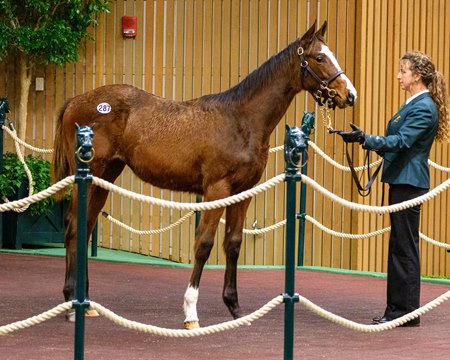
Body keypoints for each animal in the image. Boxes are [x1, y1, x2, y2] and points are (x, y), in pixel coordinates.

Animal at [51, 20, 356, 330]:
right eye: (319, 57)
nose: (349, 94)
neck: (241, 120)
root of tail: (75, 101)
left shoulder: (243, 192)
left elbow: (233, 244)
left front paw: (235, 309)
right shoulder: (216, 190)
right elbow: (204, 244)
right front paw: (191, 313)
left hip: (104, 178)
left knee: (85, 227)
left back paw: (86, 302)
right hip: (90, 175)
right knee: (74, 226)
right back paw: (71, 302)